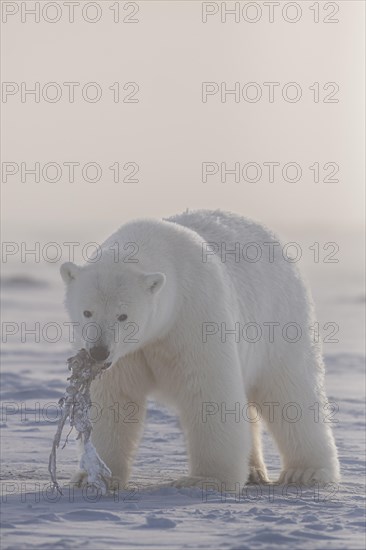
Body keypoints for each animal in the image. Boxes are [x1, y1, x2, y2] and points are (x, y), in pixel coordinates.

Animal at [59, 211, 340, 492]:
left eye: (123, 316)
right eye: (87, 311)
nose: (99, 352)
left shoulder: (195, 316)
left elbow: (209, 392)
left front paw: (207, 479)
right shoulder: (125, 356)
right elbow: (112, 399)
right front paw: (93, 477)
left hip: (280, 321)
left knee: (290, 391)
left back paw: (306, 472)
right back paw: (253, 471)